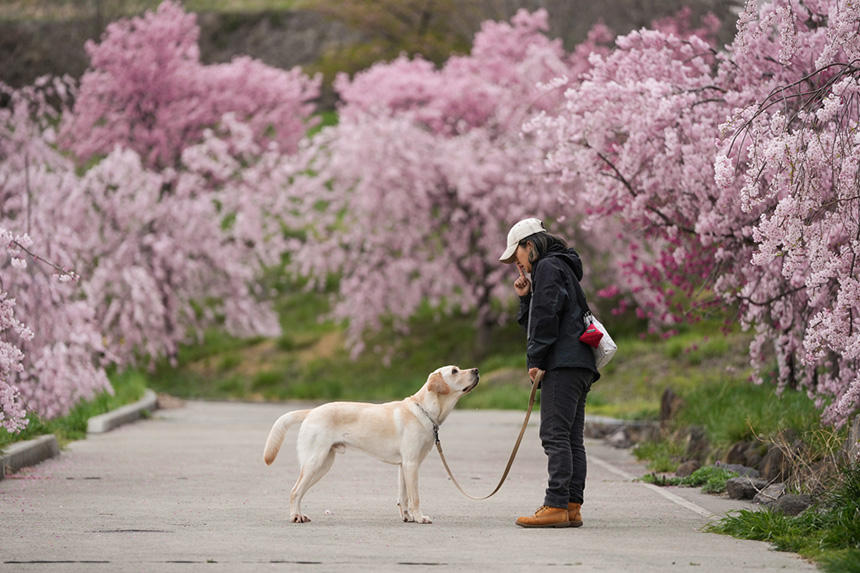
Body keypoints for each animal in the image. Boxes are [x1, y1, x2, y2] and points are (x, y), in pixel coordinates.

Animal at [264, 366, 478, 524]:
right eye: (455, 371)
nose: (476, 370)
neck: (424, 410)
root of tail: (311, 411)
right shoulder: (412, 464)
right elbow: (415, 497)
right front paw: (419, 517)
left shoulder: (403, 466)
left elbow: (403, 497)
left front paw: (407, 517)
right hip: (315, 462)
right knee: (295, 491)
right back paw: (295, 516)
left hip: (323, 464)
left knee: (299, 491)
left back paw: (299, 515)